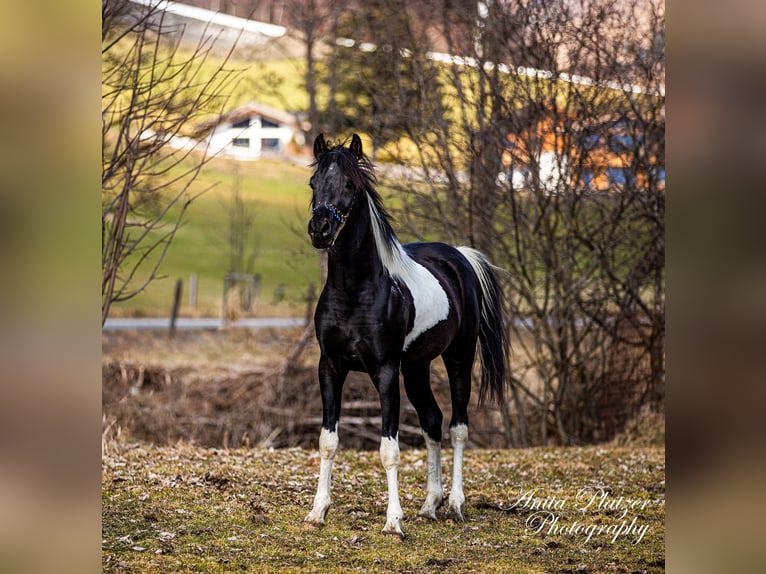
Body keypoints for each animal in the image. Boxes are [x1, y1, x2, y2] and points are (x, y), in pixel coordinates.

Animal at [303, 133, 509, 539]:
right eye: (313, 183)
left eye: (350, 185)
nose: (320, 229)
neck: (356, 290)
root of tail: (459, 257)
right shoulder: (330, 367)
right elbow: (328, 441)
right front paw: (318, 511)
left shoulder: (385, 371)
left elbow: (389, 449)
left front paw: (393, 521)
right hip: (416, 368)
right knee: (432, 421)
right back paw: (430, 505)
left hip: (458, 359)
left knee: (458, 426)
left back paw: (455, 503)